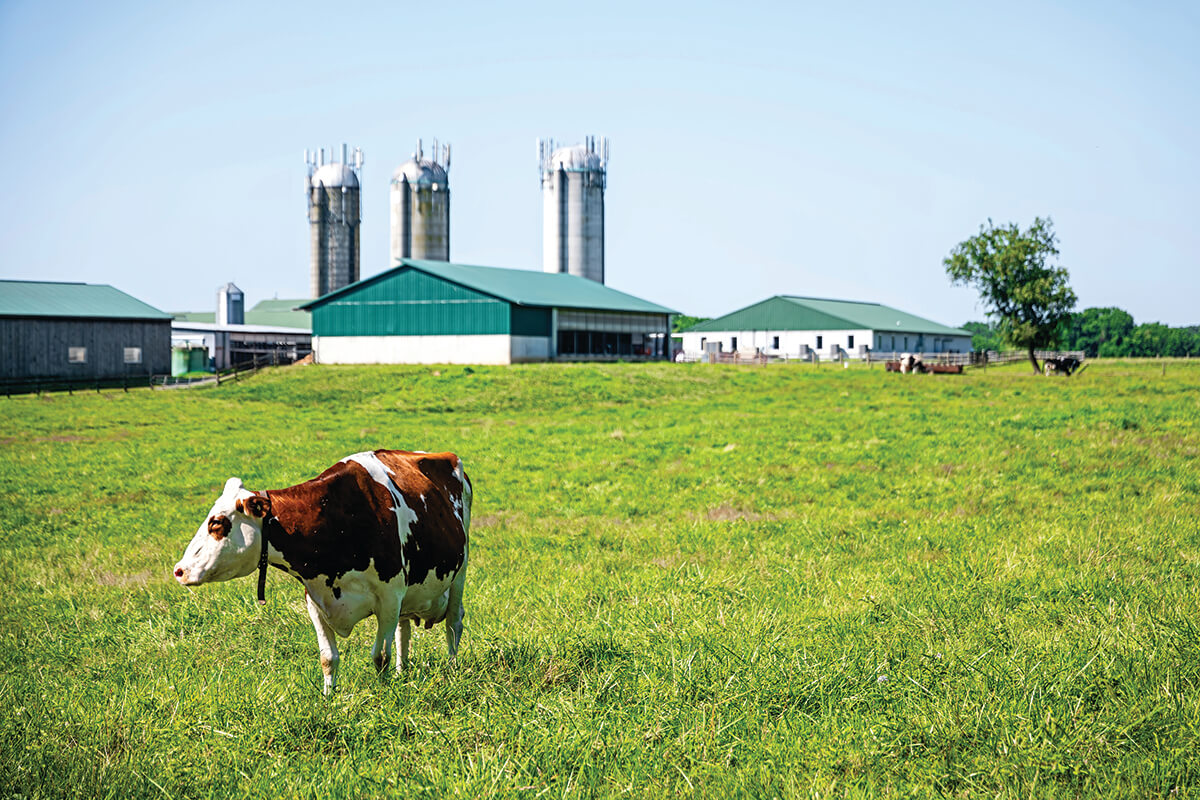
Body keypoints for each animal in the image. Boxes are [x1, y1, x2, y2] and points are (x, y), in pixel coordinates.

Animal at [171, 450, 470, 695]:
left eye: (217, 523)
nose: (179, 570)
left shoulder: (389, 596)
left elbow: (380, 656)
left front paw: (383, 694)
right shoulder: (314, 599)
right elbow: (328, 657)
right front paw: (328, 698)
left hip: (460, 571)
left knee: (453, 624)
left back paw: (452, 670)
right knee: (403, 630)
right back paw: (402, 672)